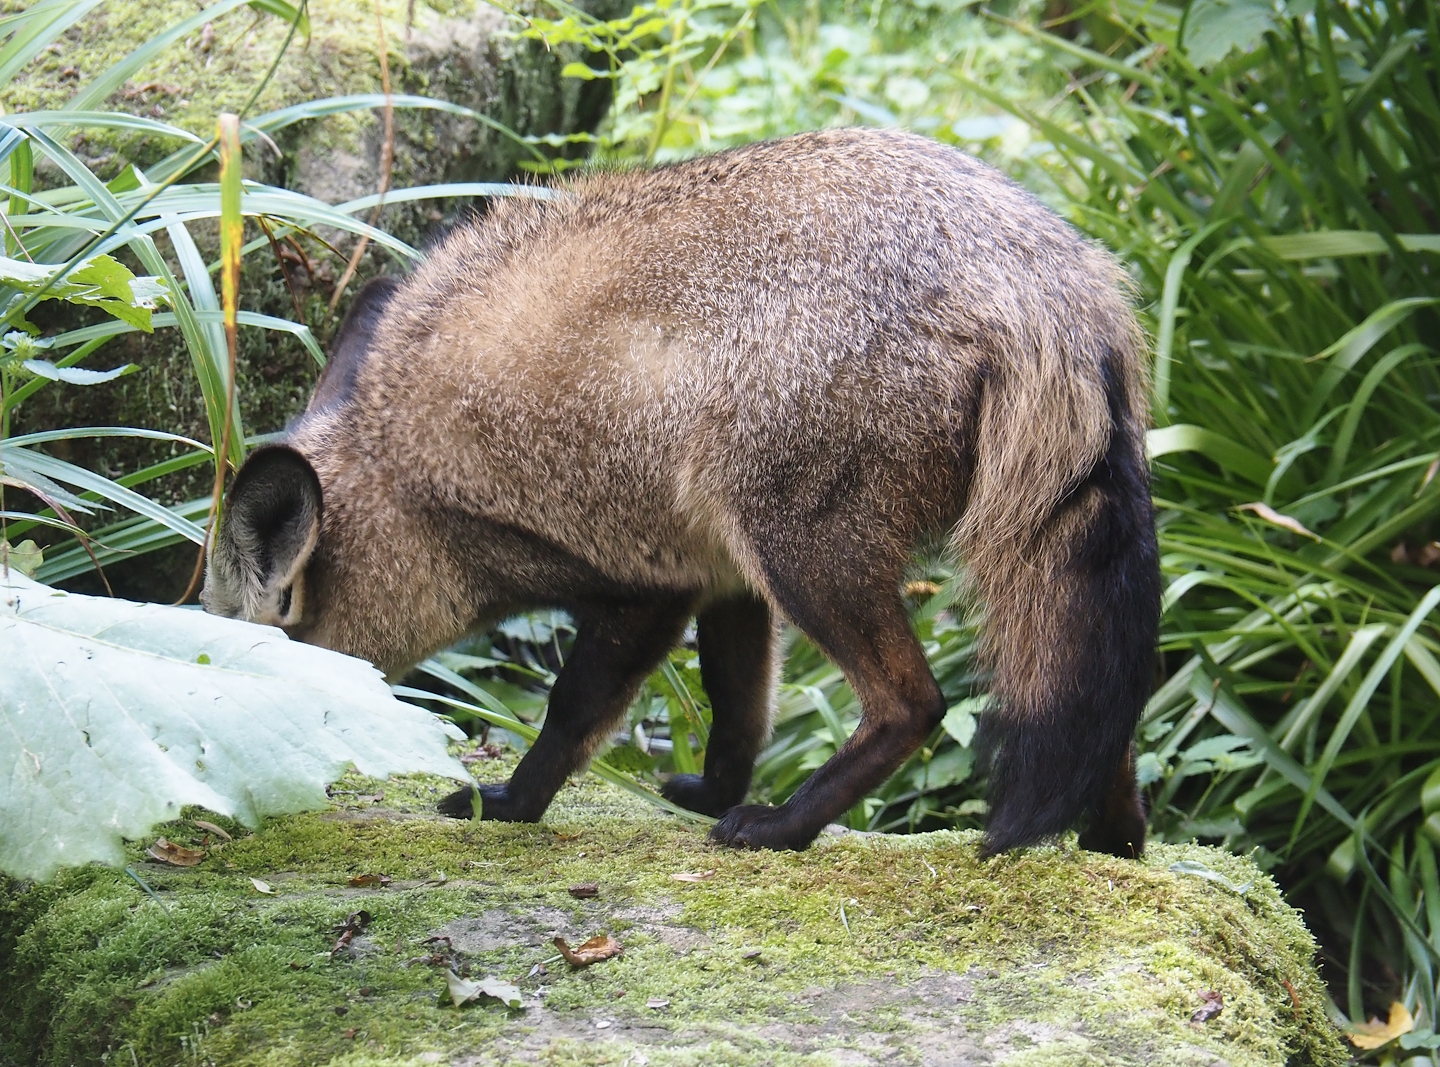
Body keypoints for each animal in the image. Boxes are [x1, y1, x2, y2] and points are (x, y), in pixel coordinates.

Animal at [201, 127, 1160, 858]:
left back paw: (780, 828)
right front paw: (709, 790)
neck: (399, 465)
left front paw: (506, 806)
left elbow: (568, 717)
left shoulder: (641, 584)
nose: (215, 802)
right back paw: (1113, 849)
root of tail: (1040, 276)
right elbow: (738, 714)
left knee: (914, 704)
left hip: (807, 557)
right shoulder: (723, 578)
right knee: (1099, 721)